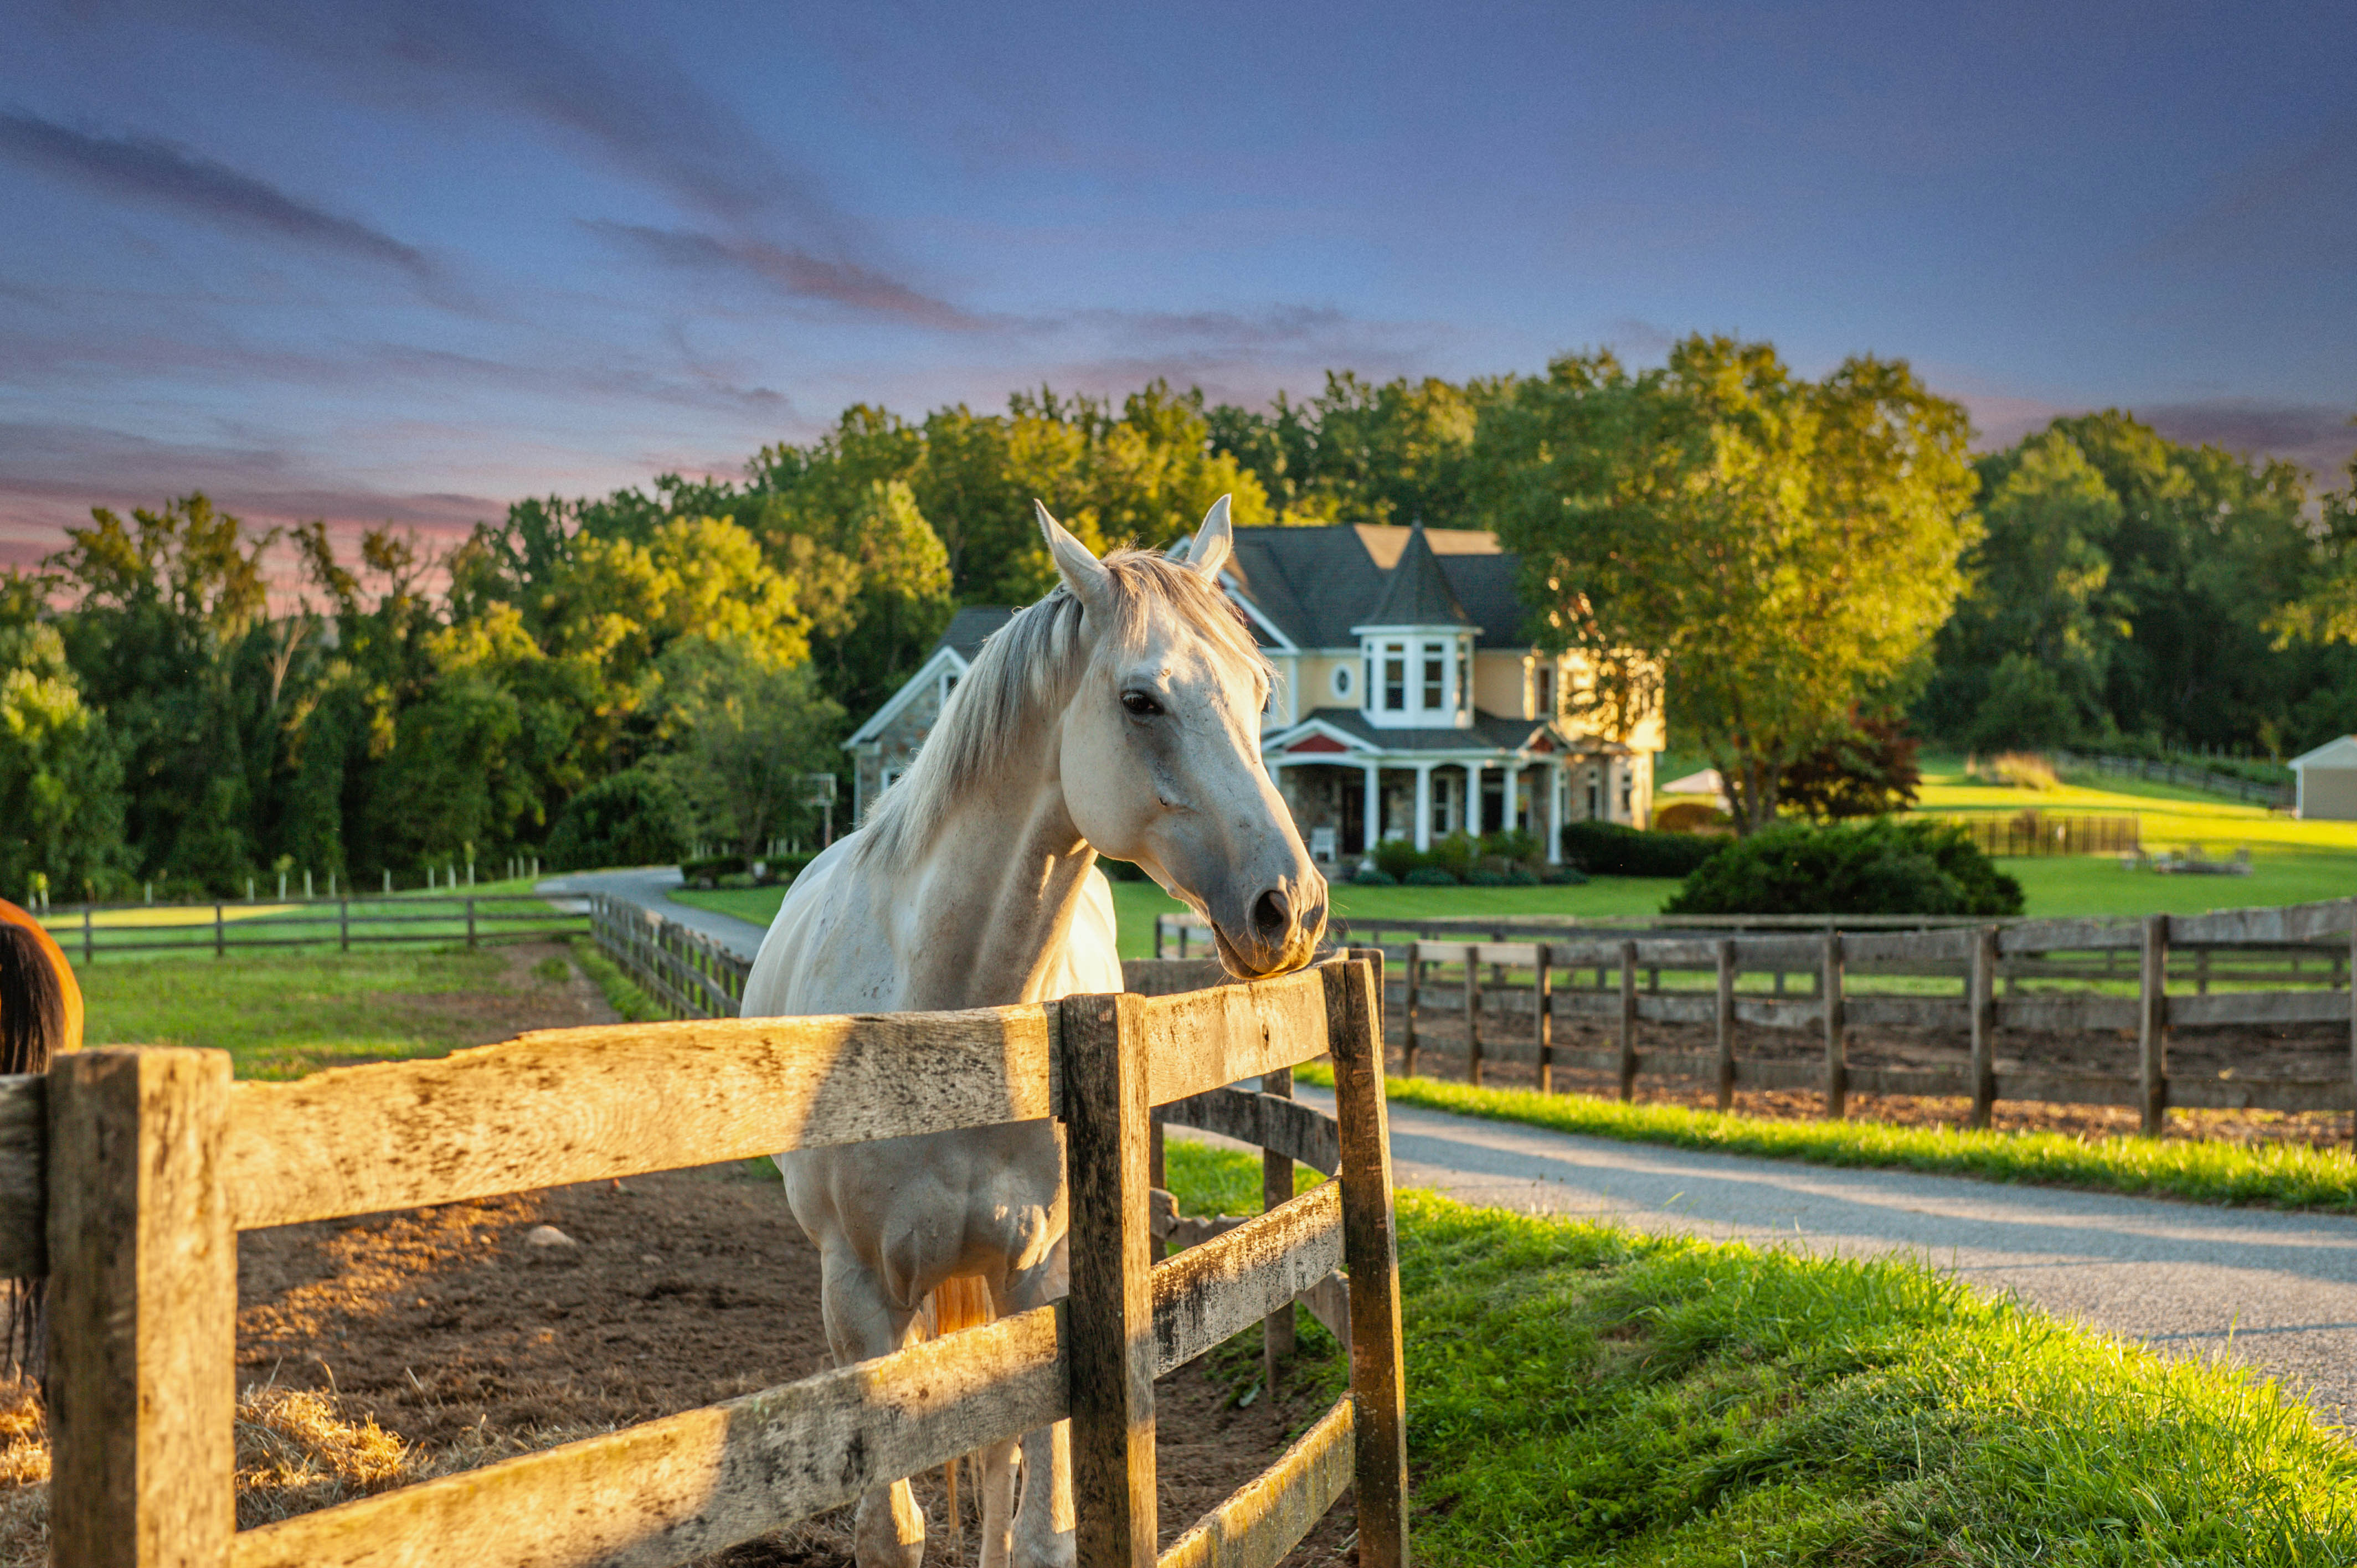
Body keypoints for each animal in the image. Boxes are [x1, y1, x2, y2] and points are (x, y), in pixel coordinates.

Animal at [735, 497, 1329, 1565]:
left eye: (1262, 690)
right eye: (1141, 701)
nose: (1290, 907)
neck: (951, 1021)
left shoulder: (1044, 1281)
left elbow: (1036, 1518)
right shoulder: (860, 1294)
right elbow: (892, 1526)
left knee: (995, 1455)